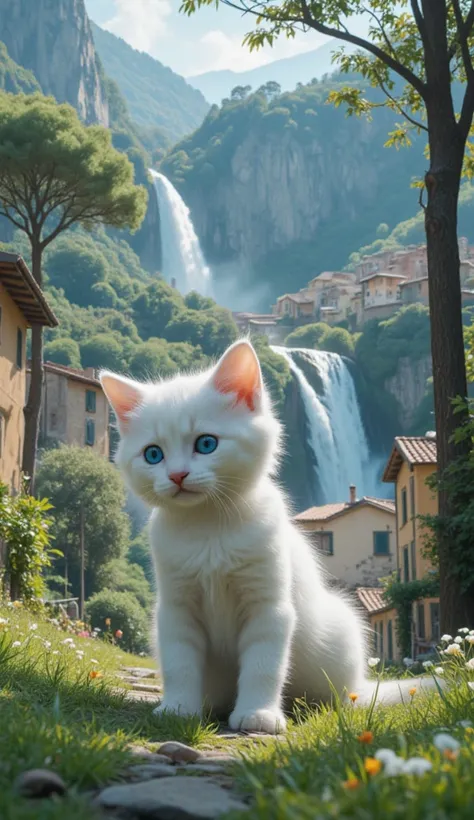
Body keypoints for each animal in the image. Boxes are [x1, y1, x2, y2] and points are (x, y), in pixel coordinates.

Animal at [102, 336, 436, 732]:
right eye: (153, 454)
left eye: (206, 444)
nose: (177, 476)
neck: (209, 526)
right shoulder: (176, 607)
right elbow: (179, 663)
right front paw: (179, 708)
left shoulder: (268, 605)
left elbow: (263, 664)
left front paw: (258, 714)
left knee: (344, 697)